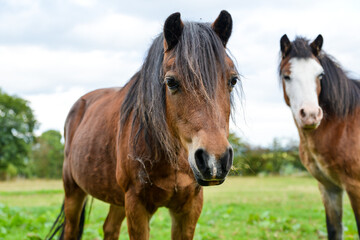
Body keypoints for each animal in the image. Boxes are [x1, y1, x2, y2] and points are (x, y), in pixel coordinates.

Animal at [47, 10, 239, 239]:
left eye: (233, 80)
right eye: (171, 82)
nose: (214, 161)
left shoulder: (189, 208)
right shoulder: (136, 205)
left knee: (110, 228)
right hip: (74, 192)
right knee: (71, 228)